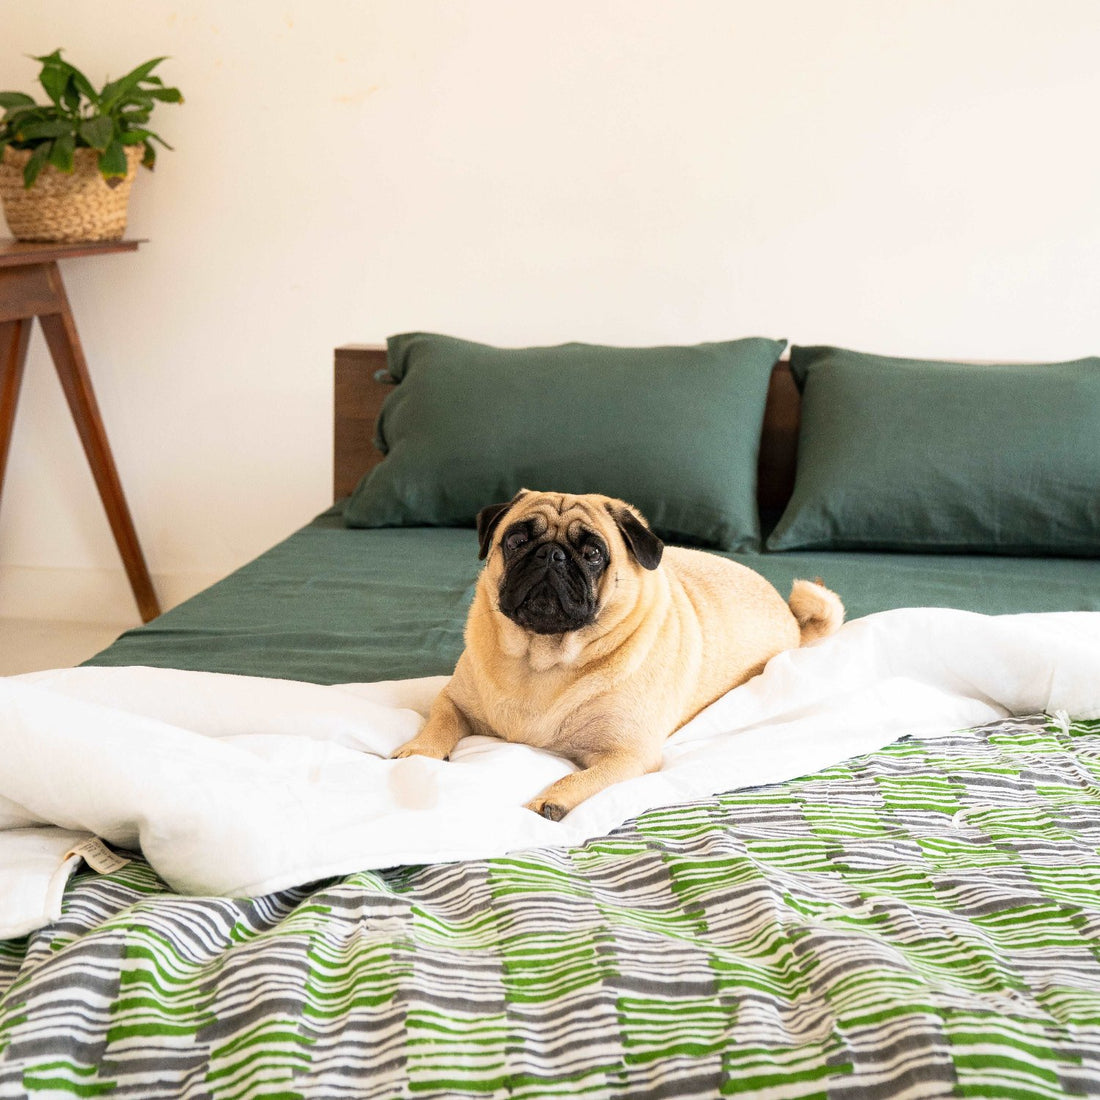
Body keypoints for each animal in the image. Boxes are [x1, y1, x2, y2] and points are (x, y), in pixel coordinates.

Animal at [393, 490, 840, 818]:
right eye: (517, 540)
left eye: (593, 554)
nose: (551, 554)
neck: (543, 659)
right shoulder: (454, 700)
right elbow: (439, 722)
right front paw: (419, 751)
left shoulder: (627, 755)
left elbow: (578, 779)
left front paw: (549, 800)